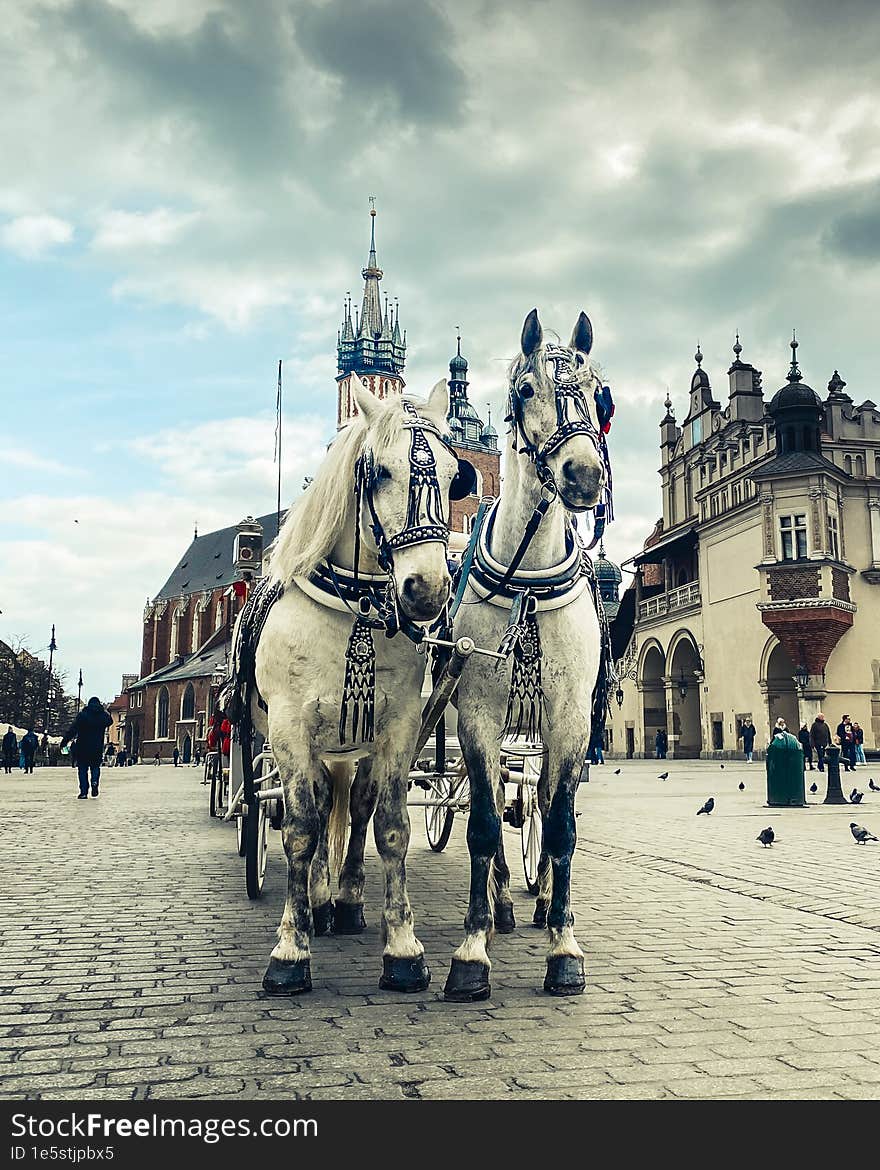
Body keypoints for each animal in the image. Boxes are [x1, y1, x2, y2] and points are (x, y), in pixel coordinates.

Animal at [241, 376, 461, 996]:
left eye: (454, 472)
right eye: (377, 471)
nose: (428, 589)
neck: (355, 609)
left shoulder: (399, 728)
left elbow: (390, 827)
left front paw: (403, 949)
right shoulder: (289, 729)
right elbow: (299, 831)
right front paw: (290, 949)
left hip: (351, 745)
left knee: (351, 808)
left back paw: (345, 903)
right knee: (312, 809)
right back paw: (316, 900)